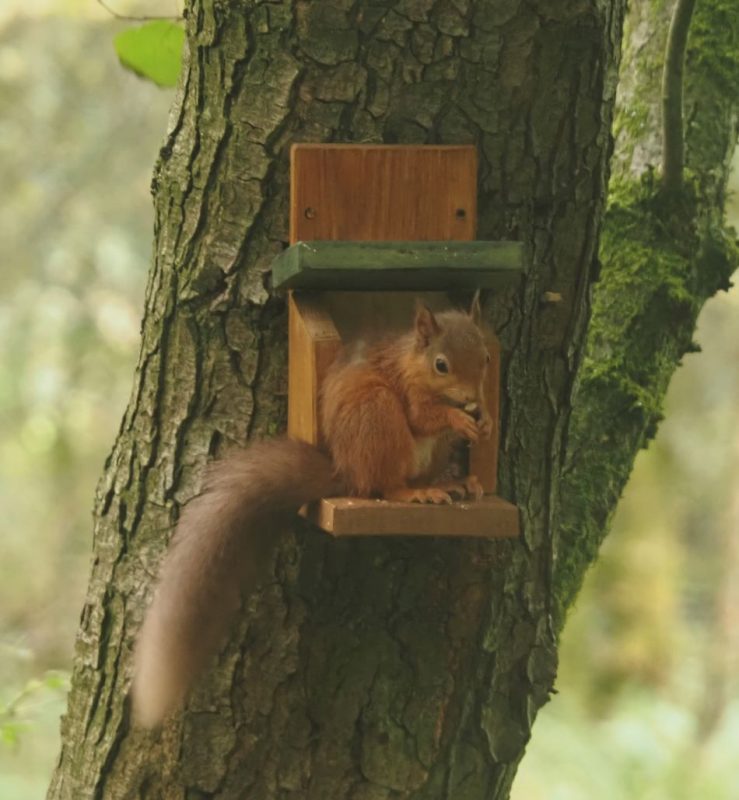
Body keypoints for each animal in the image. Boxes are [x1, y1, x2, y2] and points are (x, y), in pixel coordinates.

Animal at [133, 294, 494, 724]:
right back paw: (414, 494)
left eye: (487, 357)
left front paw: (485, 420)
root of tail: (346, 471)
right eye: (441, 364)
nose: (472, 400)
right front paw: (458, 417)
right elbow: (424, 416)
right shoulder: (408, 389)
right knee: (387, 483)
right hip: (378, 415)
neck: (413, 361)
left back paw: (453, 484)